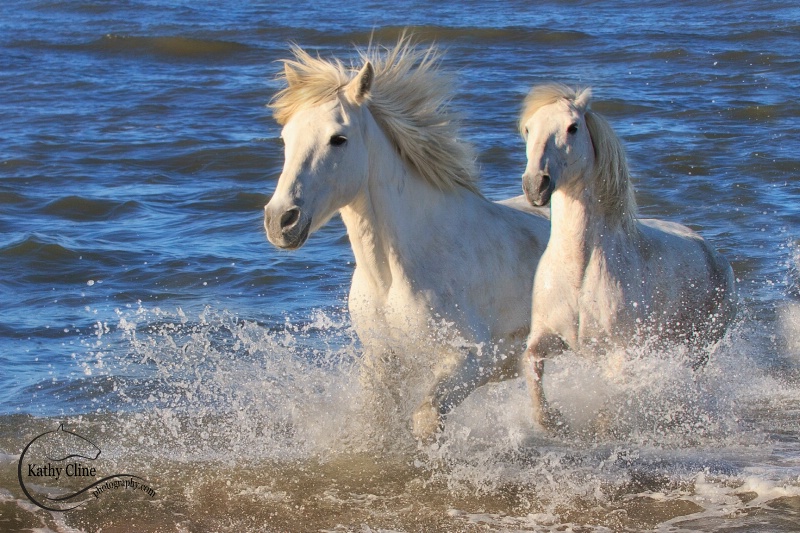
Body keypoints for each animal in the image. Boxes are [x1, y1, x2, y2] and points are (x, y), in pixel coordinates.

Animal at [262, 37, 552, 440]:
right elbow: (375, 420)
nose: (280, 221)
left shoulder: (476, 358)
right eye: (286, 137)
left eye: (338, 139)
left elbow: (425, 418)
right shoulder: (383, 359)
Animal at [520, 84, 736, 432]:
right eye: (528, 129)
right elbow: (531, 364)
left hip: (698, 346)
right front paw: (552, 420)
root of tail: (718, 257)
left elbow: (614, 389)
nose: (535, 185)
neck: (579, 273)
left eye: (572, 127)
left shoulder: (621, 350)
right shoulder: (549, 336)